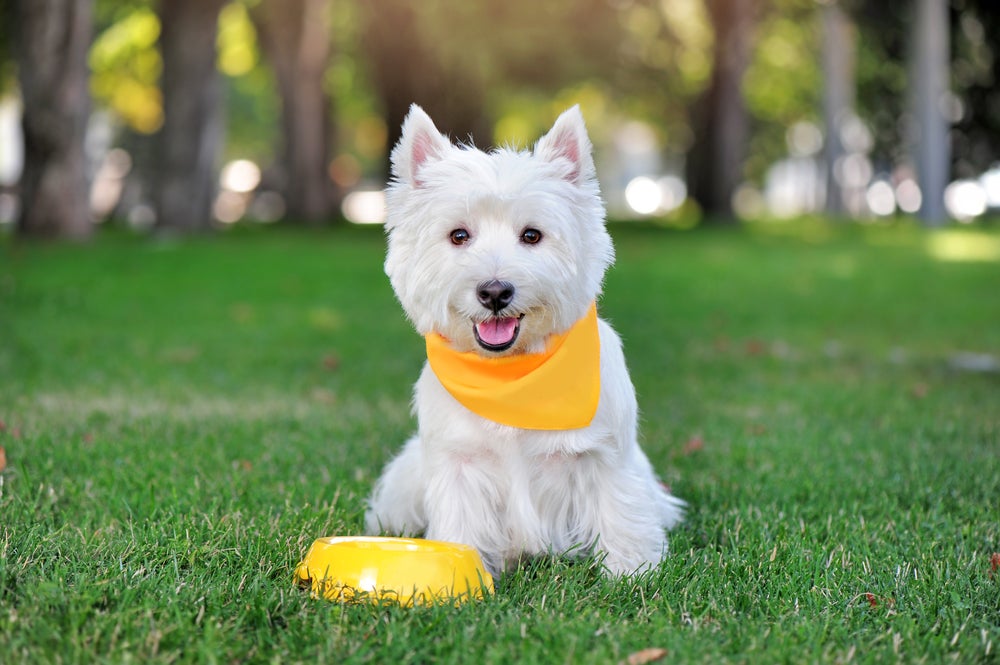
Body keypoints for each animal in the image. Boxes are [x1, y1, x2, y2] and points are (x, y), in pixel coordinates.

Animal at [364, 104, 684, 576]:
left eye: (532, 235)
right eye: (459, 235)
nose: (495, 292)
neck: (510, 374)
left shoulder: (605, 457)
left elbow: (618, 511)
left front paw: (631, 572)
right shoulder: (460, 464)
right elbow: (462, 523)